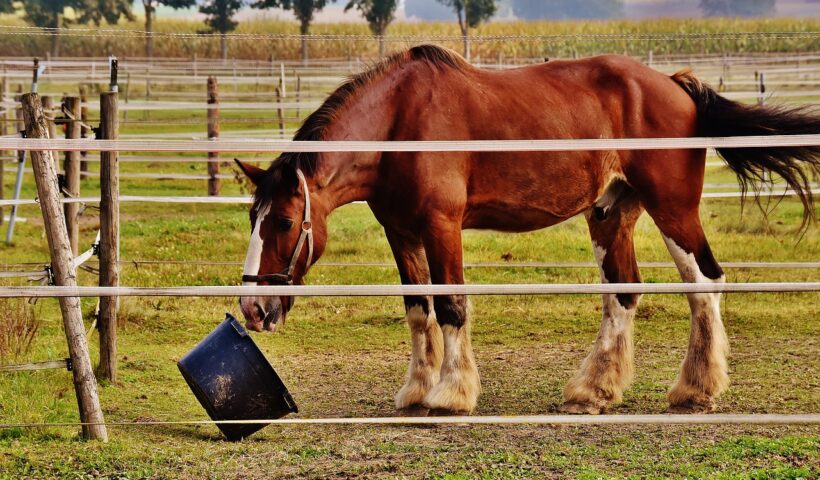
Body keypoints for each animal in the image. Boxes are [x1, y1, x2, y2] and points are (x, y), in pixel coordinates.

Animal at [234, 45, 816, 414]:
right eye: (251, 219)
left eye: (284, 220)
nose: (253, 309)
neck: (400, 123)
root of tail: (676, 86)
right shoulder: (401, 233)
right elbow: (418, 311)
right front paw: (416, 391)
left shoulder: (441, 226)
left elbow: (451, 306)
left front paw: (452, 394)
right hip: (611, 213)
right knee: (623, 293)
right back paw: (593, 391)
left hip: (673, 210)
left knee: (704, 285)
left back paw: (696, 389)